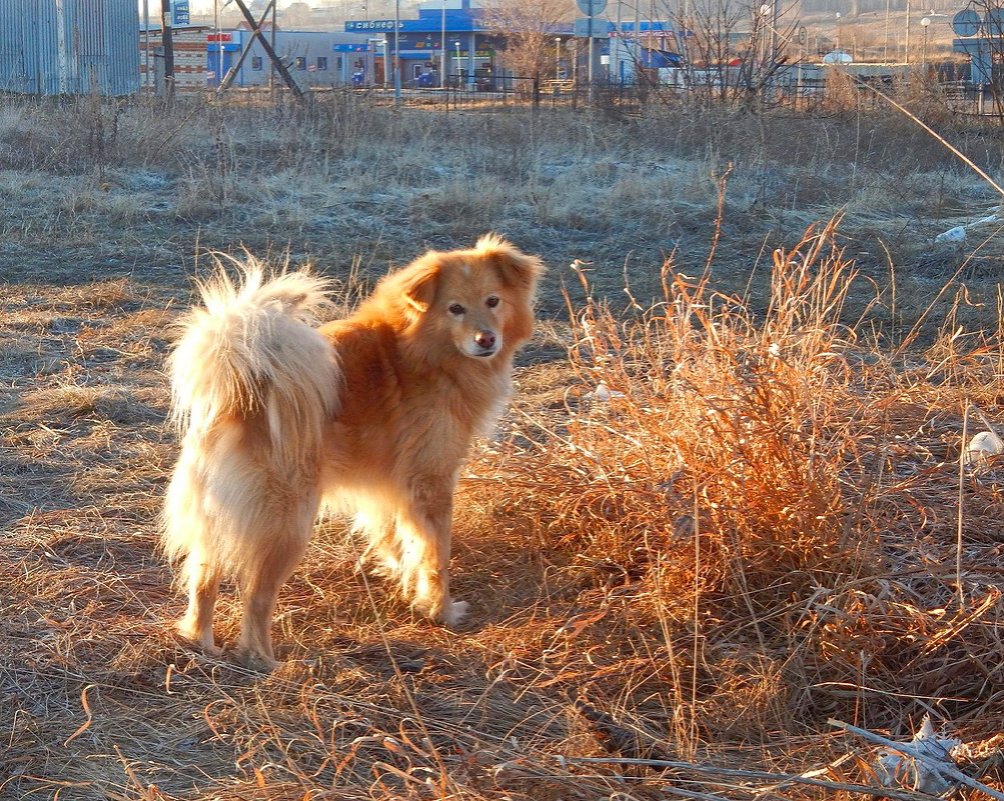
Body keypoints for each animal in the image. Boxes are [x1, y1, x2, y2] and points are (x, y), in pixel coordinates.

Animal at [161, 236, 546, 670]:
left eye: (493, 301)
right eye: (455, 308)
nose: (486, 340)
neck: (418, 348)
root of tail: (238, 394)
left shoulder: (385, 485)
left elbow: (396, 539)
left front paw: (405, 583)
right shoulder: (431, 481)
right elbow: (435, 556)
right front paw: (441, 610)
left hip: (214, 518)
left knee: (203, 581)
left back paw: (200, 642)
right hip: (288, 522)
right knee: (256, 597)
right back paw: (267, 661)